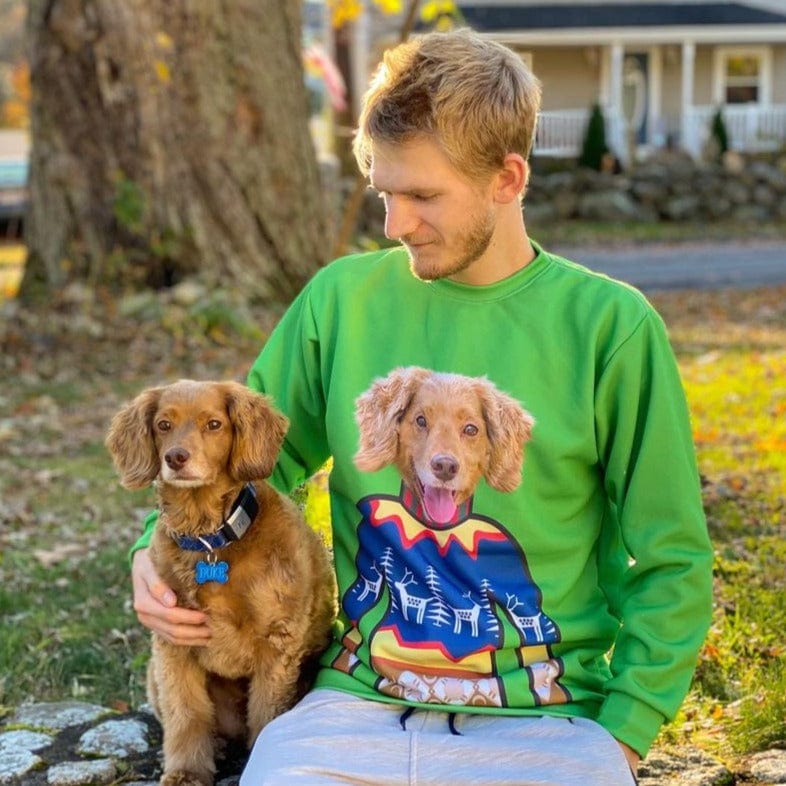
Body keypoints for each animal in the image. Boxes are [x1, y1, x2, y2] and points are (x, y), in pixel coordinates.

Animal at [106, 380, 334, 784]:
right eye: (163, 425)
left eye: (214, 424)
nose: (176, 458)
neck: (210, 539)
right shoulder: (173, 644)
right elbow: (186, 714)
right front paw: (185, 771)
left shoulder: (277, 644)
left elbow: (265, 715)